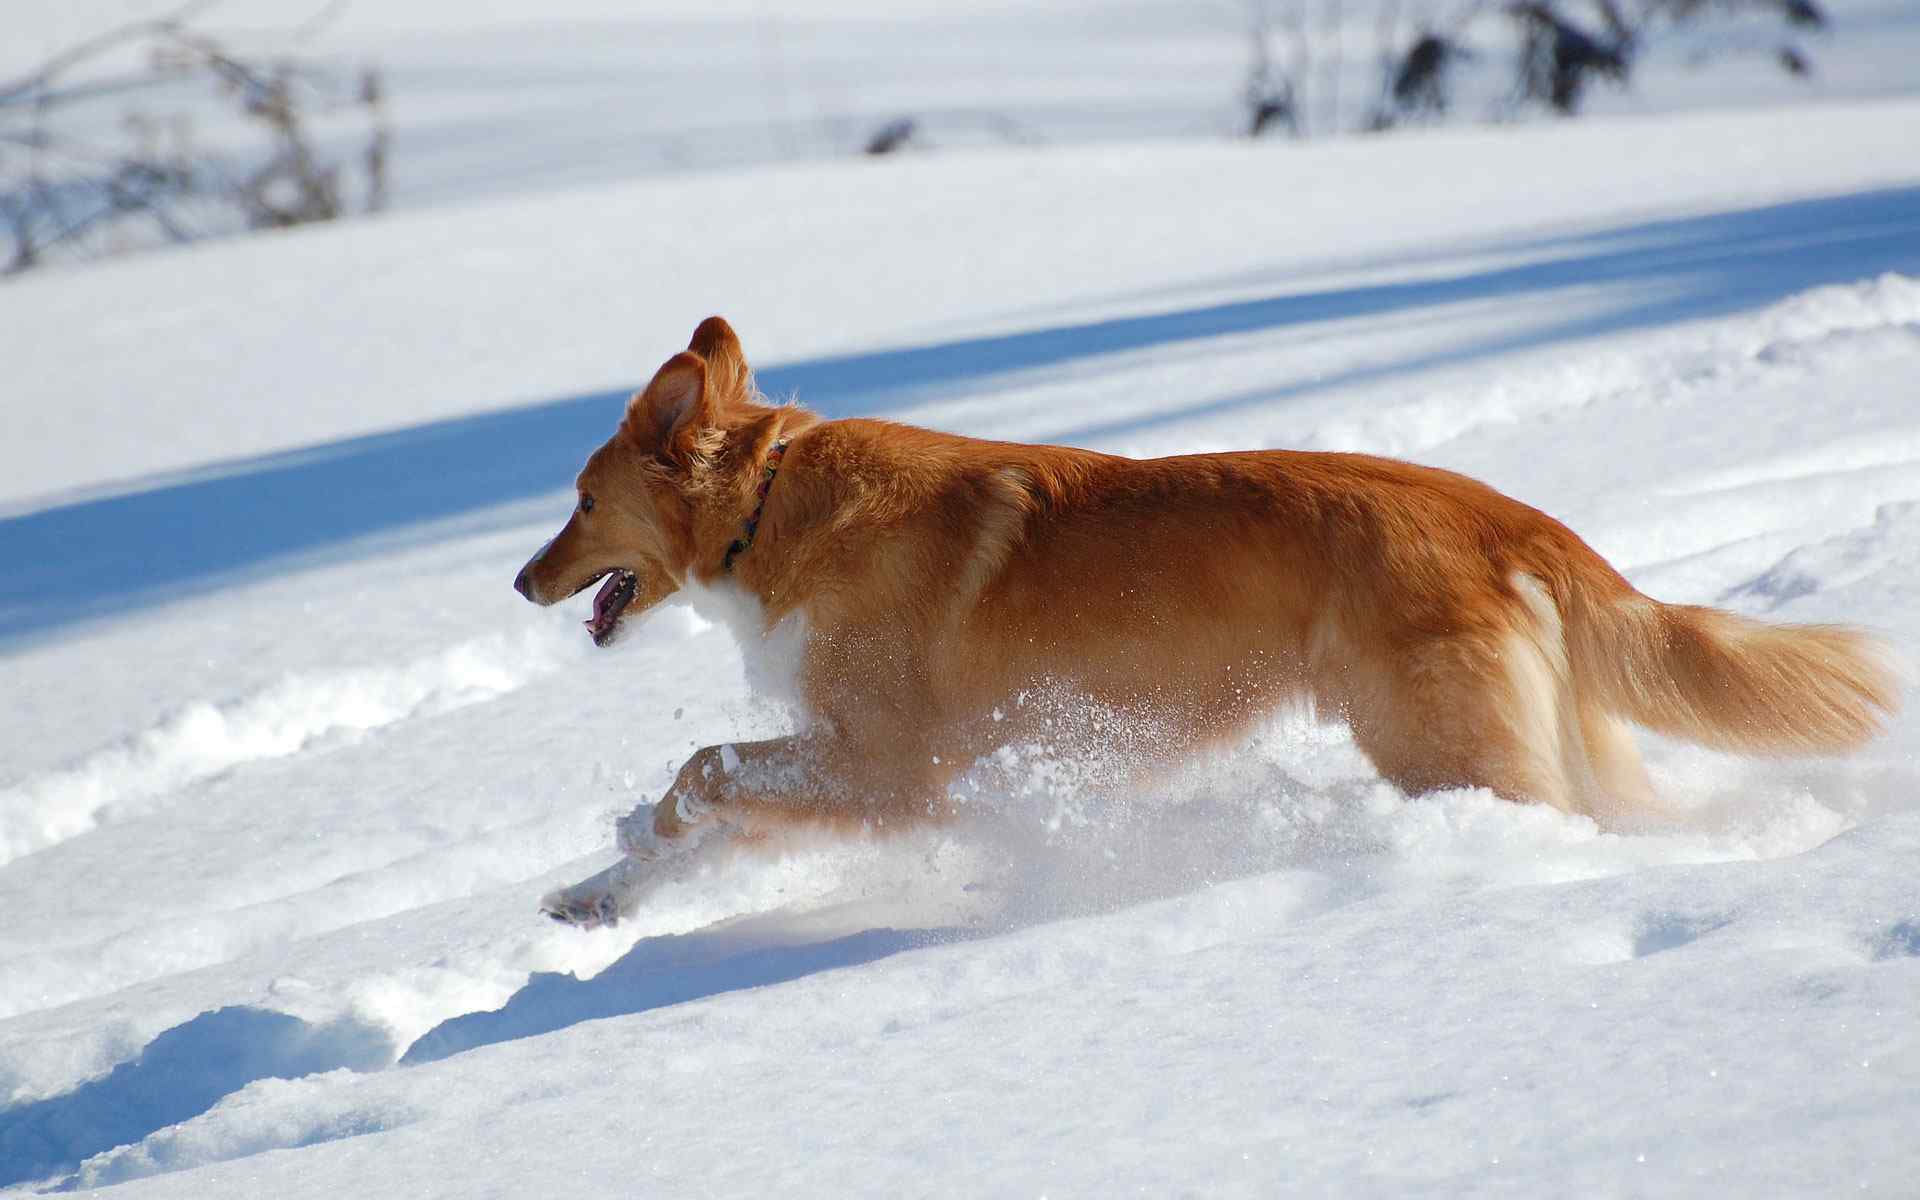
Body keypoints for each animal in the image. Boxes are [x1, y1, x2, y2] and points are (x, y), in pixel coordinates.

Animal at [518, 316, 1896, 917]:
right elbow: (698, 816)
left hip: (1444, 746)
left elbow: (700, 772)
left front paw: (635, 847)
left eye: (578, 502)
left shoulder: (894, 769)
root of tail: (1505, 515)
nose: (521, 581)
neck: (770, 505)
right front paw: (599, 894)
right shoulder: (847, 765)